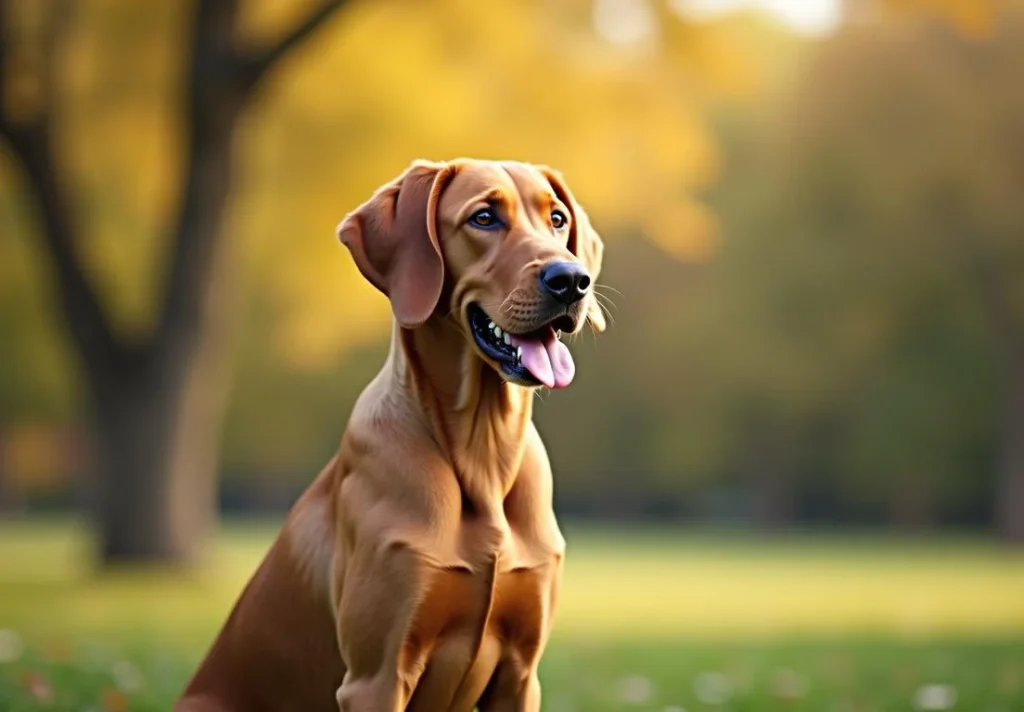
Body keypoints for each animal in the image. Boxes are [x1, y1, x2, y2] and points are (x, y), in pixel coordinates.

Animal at [177, 159, 606, 712]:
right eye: (484, 217)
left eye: (556, 219)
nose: (572, 280)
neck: (484, 450)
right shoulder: (377, 677)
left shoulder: (520, 675)